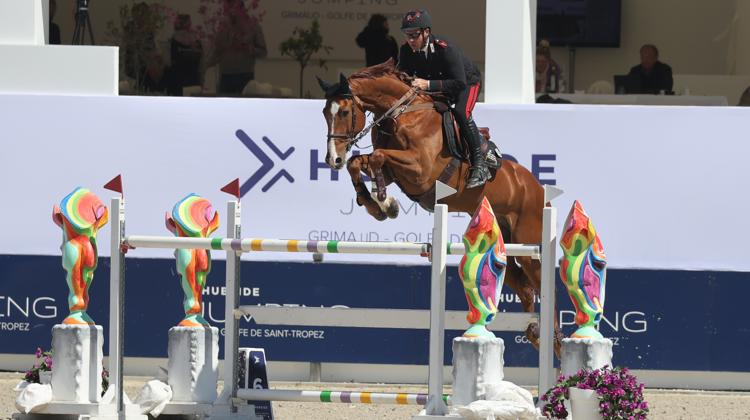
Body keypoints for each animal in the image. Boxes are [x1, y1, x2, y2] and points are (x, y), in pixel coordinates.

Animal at [320, 59, 560, 354]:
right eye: (325, 112)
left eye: (344, 111)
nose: (333, 159)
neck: (402, 114)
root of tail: (537, 188)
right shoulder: (396, 172)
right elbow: (361, 162)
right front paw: (379, 205)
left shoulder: (420, 169)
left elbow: (376, 156)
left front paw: (384, 202)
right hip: (503, 245)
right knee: (526, 290)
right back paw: (534, 333)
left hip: (529, 247)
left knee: (546, 289)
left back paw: (556, 343)